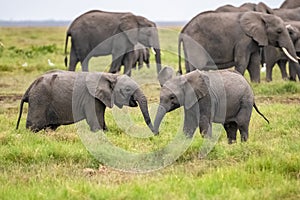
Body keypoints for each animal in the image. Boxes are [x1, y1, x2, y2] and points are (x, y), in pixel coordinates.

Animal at [15, 69, 154, 132]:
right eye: (127, 89)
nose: (155, 134)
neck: (110, 76)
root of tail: (30, 87)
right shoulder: (91, 98)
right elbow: (95, 121)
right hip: (39, 99)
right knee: (33, 126)